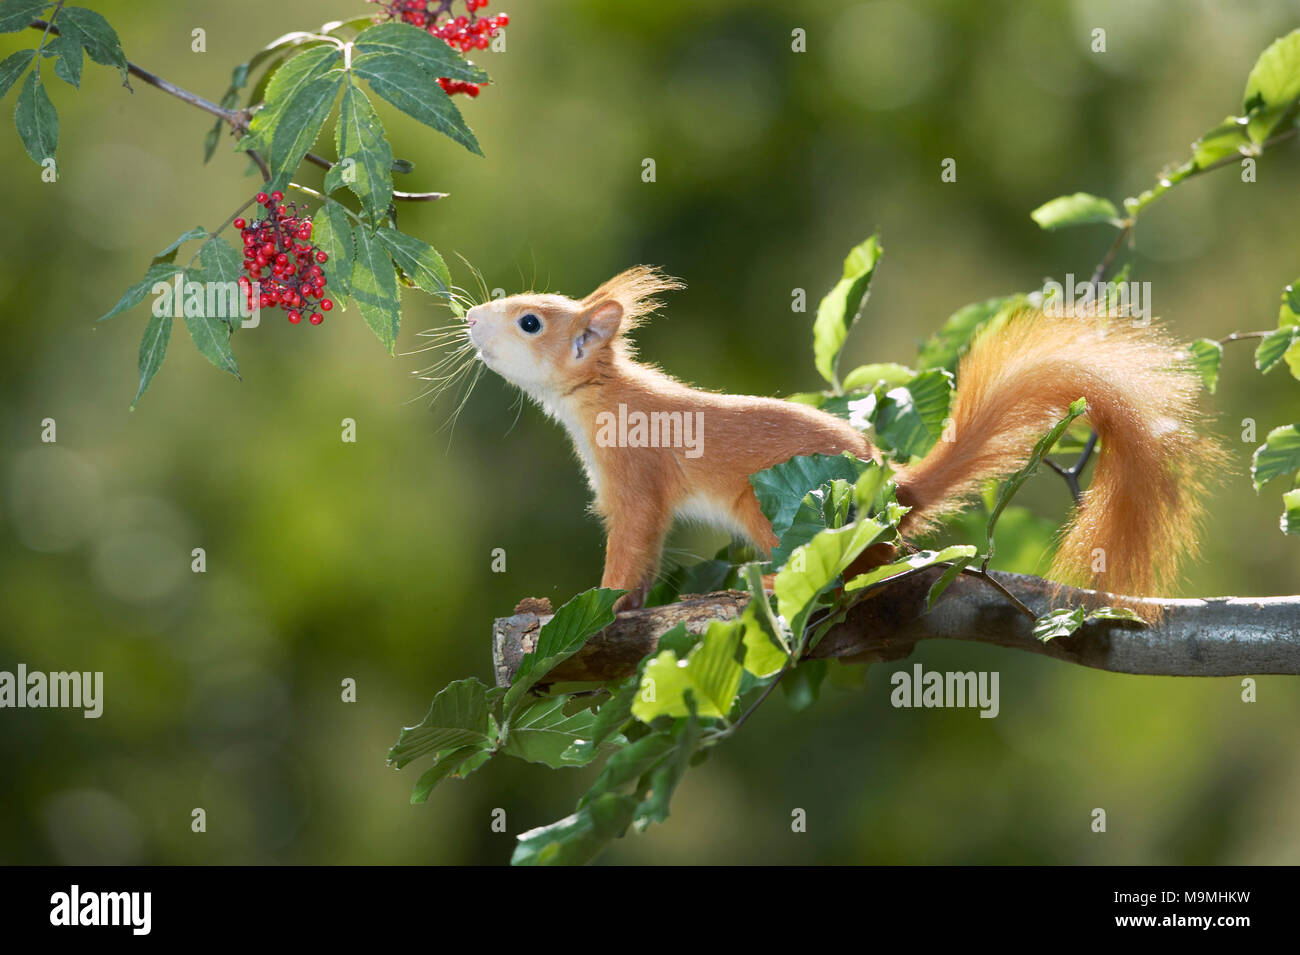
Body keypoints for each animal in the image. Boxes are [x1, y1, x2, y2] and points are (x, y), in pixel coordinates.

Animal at [467, 267, 1216, 613]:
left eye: (531, 321)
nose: (471, 316)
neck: (601, 395)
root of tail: (899, 490)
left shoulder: (634, 477)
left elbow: (631, 555)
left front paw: (592, 605)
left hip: (777, 514)